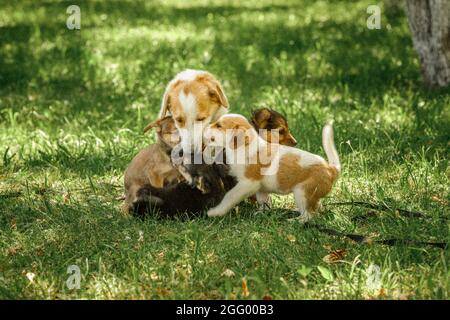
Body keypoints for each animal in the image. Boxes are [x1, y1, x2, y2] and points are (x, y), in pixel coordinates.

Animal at [204, 114, 342, 221]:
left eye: (219, 126)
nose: (204, 126)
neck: (244, 148)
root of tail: (331, 169)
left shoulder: (248, 183)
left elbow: (230, 196)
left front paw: (215, 212)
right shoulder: (260, 189)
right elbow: (263, 202)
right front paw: (262, 214)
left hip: (302, 192)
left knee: (309, 215)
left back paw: (294, 221)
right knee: (315, 208)